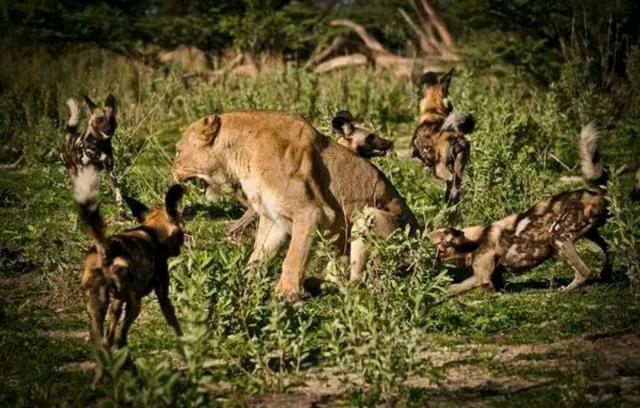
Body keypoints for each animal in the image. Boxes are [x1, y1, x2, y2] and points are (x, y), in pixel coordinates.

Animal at [74, 167, 188, 380]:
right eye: (181, 233)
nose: (179, 249)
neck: (152, 231)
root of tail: (105, 249)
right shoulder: (163, 295)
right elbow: (175, 326)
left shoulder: (116, 303)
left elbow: (110, 338)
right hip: (135, 305)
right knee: (120, 339)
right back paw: (130, 373)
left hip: (97, 309)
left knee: (103, 343)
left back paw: (104, 378)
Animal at [410, 69, 476, 204]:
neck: (433, 110)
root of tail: (458, 140)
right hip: (459, 169)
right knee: (455, 189)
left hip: (440, 169)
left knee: (450, 181)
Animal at [432, 122, 612, 294]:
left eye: (439, 251)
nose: (432, 267)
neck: (473, 241)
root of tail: (594, 192)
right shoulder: (493, 278)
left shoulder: (480, 278)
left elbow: (451, 289)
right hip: (589, 234)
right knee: (609, 250)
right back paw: (605, 274)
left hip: (558, 237)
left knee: (585, 272)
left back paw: (567, 290)